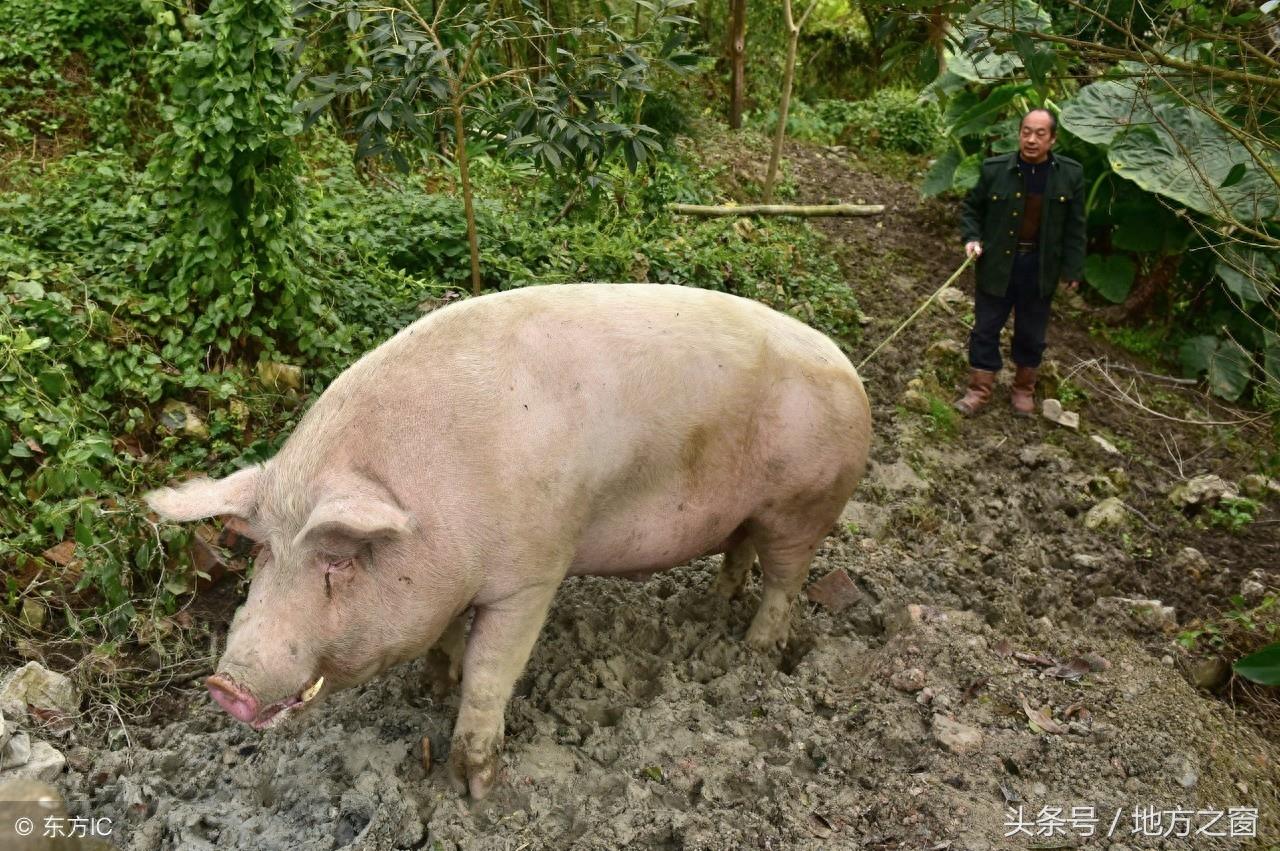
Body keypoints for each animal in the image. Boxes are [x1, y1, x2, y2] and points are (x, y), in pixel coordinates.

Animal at [147, 284, 870, 798]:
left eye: (338, 560)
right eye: (264, 552)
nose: (226, 684)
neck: (434, 500)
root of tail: (847, 365)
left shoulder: (532, 575)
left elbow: (491, 672)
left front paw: (473, 788)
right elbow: (442, 641)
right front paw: (431, 689)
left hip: (804, 506)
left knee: (785, 582)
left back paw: (753, 652)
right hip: (753, 513)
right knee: (740, 553)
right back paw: (714, 607)